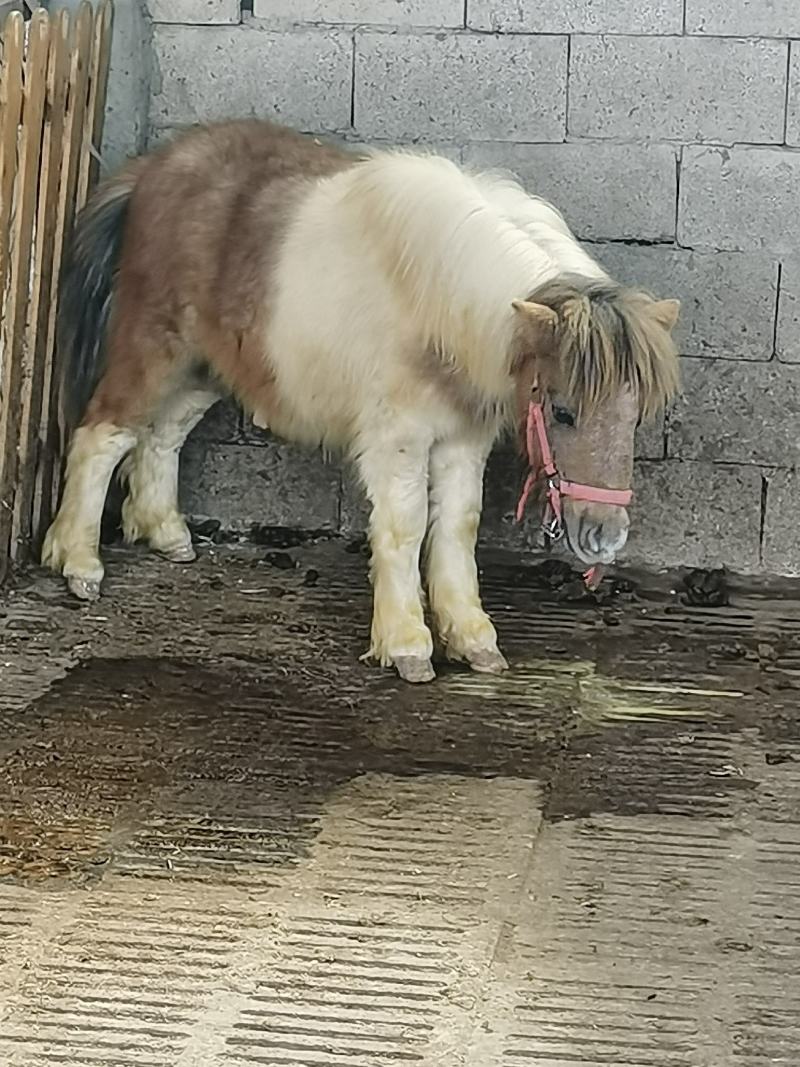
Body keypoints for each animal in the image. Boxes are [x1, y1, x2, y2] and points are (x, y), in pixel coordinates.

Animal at [42, 119, 680, 684]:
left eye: (634, 418)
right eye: (563, 412)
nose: (605, 536)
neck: (438, 307)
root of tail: (154, 167)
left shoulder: (462, 440)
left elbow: (458, 526)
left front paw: (472, 638)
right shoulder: (397, 439)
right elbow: (405, 526)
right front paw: (407, 645)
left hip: (204, 368)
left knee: (163, 436)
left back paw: (166, 533)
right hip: (155, 349)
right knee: (104, 435)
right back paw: (79, 563)